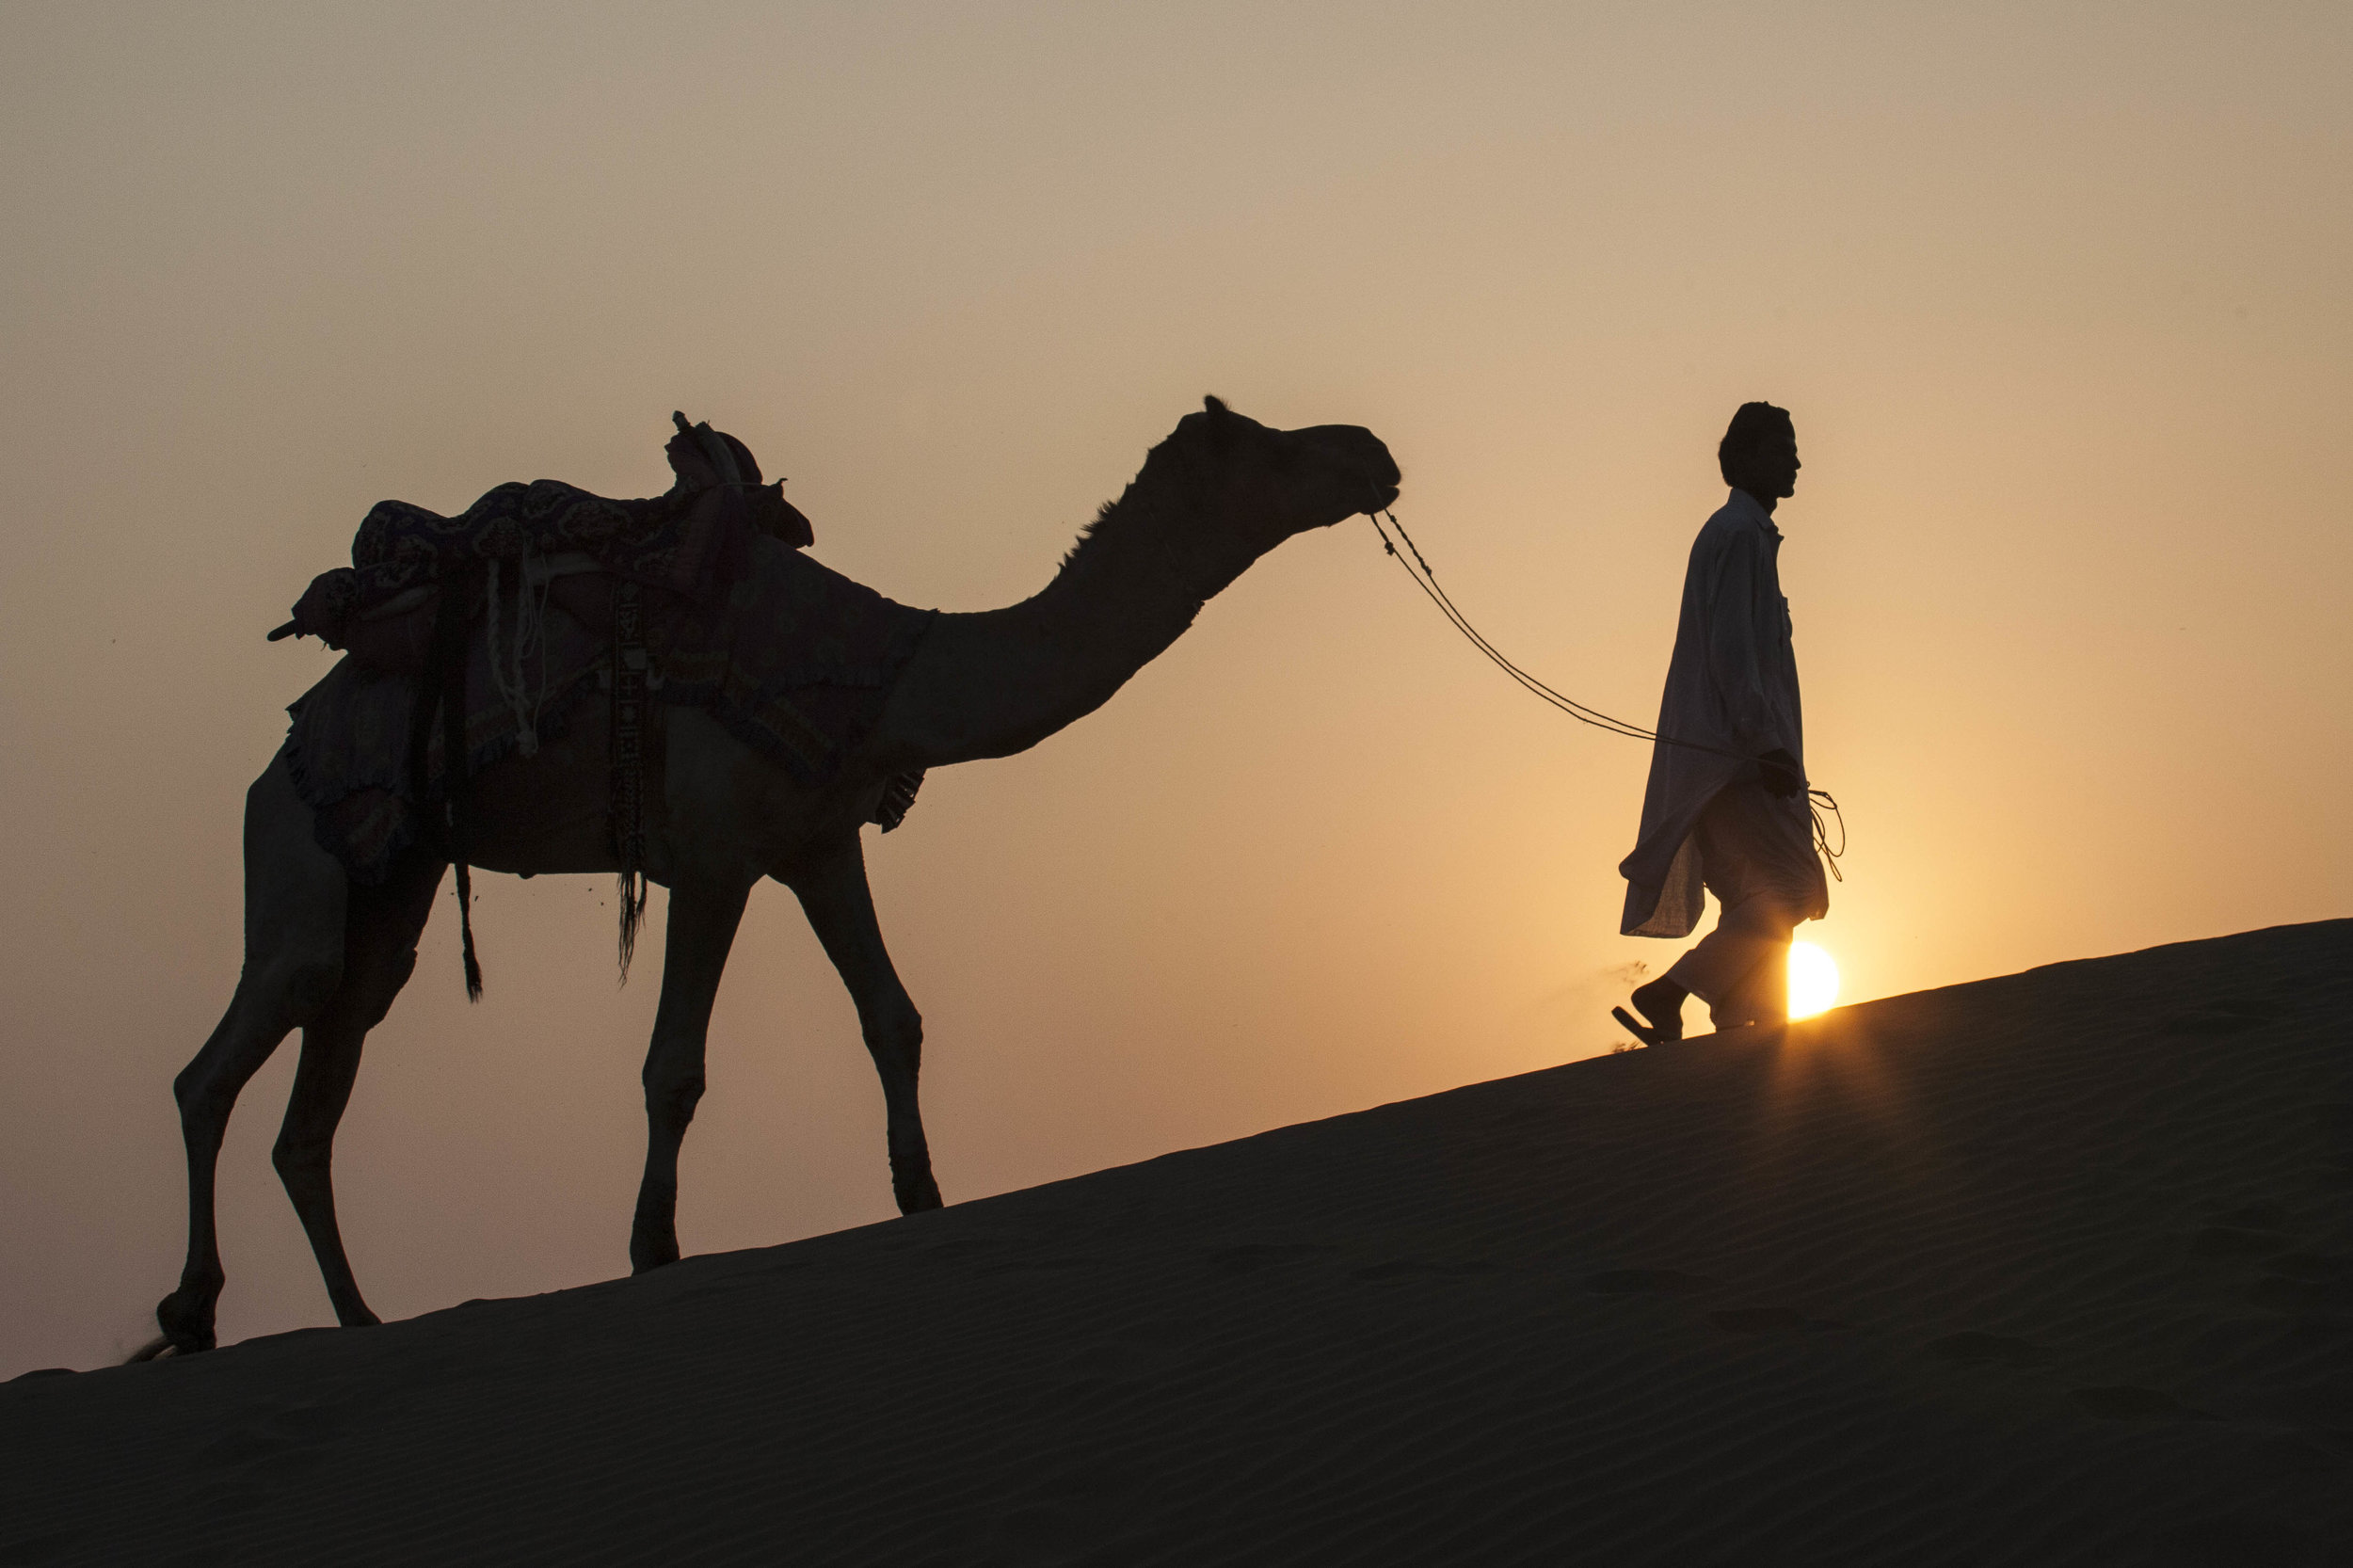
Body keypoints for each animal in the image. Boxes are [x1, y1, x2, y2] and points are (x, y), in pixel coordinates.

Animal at [142, 397, 1393, 1346]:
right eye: (1274, 446)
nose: (1374, 450)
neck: (889, 672)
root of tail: (285, 744)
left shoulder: (818, 840)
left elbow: (894, 1017)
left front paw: (921, 1197)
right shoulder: (714, 858)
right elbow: (674, 1069)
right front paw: (652, 1248)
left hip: (389, 877)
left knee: (326, 1070)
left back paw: (357, 1317)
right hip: (299, 844)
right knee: (230, 1054)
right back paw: (195, 1312)